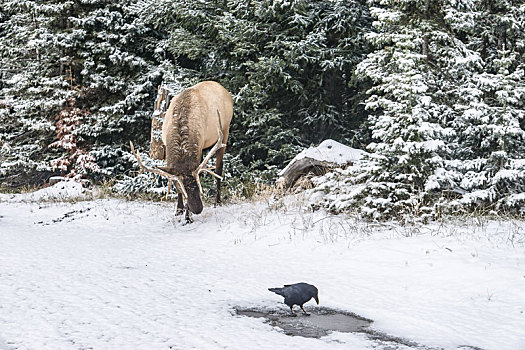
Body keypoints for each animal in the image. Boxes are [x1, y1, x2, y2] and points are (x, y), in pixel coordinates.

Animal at [129, 81, 231, 221]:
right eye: (182, 188)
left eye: (198, 184)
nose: (198, 209)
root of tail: (225, 90)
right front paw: (179, 210)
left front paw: (187, 217)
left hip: (225, 130)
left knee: (218, 168)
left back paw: (218, 201)